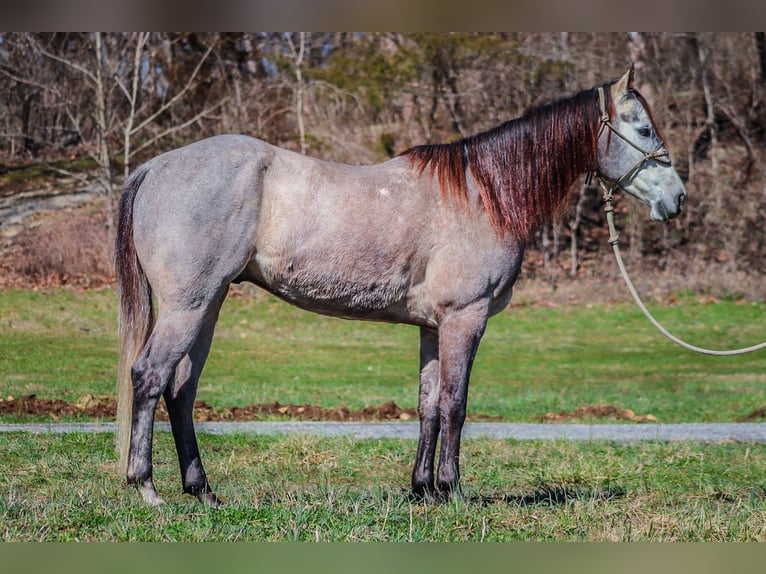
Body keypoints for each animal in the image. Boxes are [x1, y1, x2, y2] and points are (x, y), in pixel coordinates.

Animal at [115, 67, 688, 508]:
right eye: (642, 128)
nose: (677, 197)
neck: (484, 194)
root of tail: (156, 166)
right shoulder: (465, 317)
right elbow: (456, 403)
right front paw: (453, 492)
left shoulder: (433, 326)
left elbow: (428, 405)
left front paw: (424, 490)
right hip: (188, 306)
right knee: (149, 377)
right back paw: (146, 488)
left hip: (208, 305)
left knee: (181, 389)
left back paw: (203, 492)